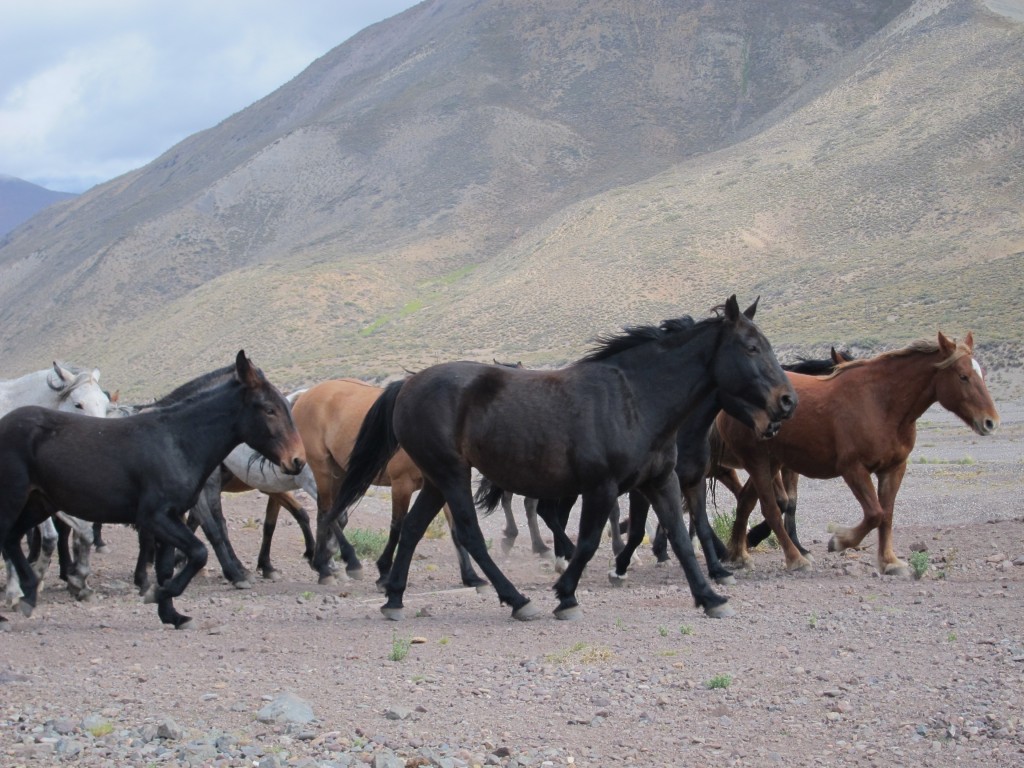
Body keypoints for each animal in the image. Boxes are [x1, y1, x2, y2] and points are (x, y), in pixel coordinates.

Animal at [290, 378, 485, 589]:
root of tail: (305, 395)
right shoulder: (402, 484)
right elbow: (396, 526)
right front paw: (384, 573)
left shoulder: (444, 485)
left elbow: (456, 530)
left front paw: (470, 576)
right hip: (323, 469)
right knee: (327, 512)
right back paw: (348, 562)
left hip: (340, 473)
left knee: (325, 513)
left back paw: (322, 565)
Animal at [315, 296, 794, 622]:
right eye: (751, 347)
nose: (787, 402)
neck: (635, 399)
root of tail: (408, 384)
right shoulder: (602, 488)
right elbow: (588, 542)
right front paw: (565, 595)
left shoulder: (661, 482)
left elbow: (679, 536)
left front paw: (710, 597)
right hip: (451, 474)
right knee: (469, 534)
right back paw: (516, 600)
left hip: (436, 479)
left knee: (414, 529)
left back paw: (395, 598)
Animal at [716, 331, 995, 577]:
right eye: (963, 376)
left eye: (982, 373)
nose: (990, 421)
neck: (881, 403)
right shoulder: (853, 469)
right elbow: (874, 514)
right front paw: (839, 541)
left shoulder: (894, 468)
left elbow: (887, 514)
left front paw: (890, 562)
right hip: (757, 462)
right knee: (769, 508)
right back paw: (795, 559)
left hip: (770, 462)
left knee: (746, 501)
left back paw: (739, 555)